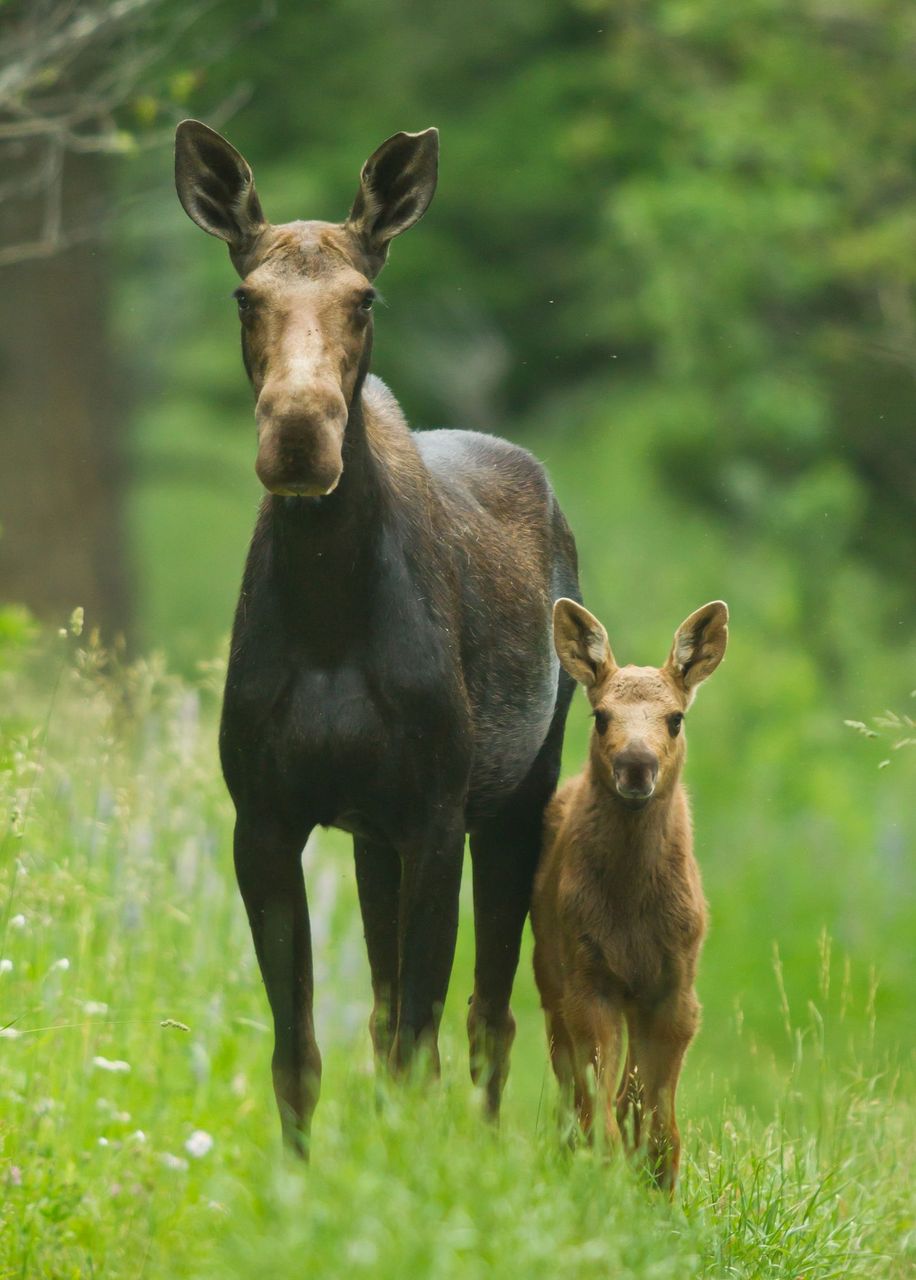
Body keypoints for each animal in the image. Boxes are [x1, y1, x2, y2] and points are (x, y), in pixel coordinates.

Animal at [173, 121, 580, 1155]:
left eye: (364, 298)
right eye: (245, 294)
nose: (298, 437)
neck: (329, 612)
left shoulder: (433, 816)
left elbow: (417, 1041)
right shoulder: (266, 818)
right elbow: (302, 1052)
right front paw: (304, 1176)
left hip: (519, 794)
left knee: (486, 1017)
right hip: (370, 837)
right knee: (396, 1014)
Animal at [531, 597, 728, 1191]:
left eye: (675, 718)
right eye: (600, 716)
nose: (636, 765)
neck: (633, 913)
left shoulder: (675, 989)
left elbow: (658, 1123)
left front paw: (658, 1191)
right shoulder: (588, 980)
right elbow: (601, 1114)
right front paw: (609, 1184)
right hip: (550, 975)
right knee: (573, 1094)